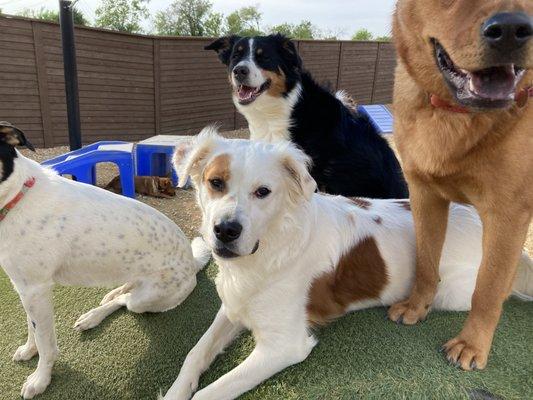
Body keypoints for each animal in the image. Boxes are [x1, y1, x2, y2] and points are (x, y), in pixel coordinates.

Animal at [0, 123, 210, 398]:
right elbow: (31, 326)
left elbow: (46, 344)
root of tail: (191, 260)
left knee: (126, 301)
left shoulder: (35, 289)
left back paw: (93, 316)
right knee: (124, 291)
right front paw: (28, 350)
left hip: (148, 299)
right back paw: (104, 302)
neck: (16, 196)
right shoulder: (25, 287)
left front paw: (40, 379)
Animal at [163, 129, 532, 400]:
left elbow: (210, 393)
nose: (226, 230)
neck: (270, 247)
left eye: (263, 191)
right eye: (216, 182)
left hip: (454, 291)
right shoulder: (233, 307)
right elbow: (195, 354)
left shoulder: (285, 345)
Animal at [386, 0, 532, 370]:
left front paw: (472, 343)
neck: (457, 112)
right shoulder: (425, 195)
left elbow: (488, 286)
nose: (512, 30)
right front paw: (417, 306)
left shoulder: (507, 215)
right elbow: (425, 262)